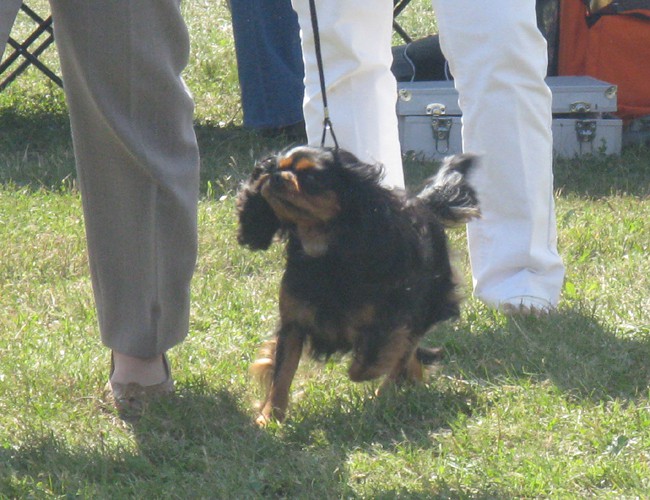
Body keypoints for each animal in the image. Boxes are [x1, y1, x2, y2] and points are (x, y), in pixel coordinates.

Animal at [235, 146, 478, 424]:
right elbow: (281, 375)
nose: (274, 177)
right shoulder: (293, 325)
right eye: (275, 168)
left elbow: (365, 366)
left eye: (311, 178)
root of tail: (423, 205)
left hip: (426, 304)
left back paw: (388, 391)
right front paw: (269, 417)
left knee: (407, 348)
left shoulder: (388, 321)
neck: (325, 251)